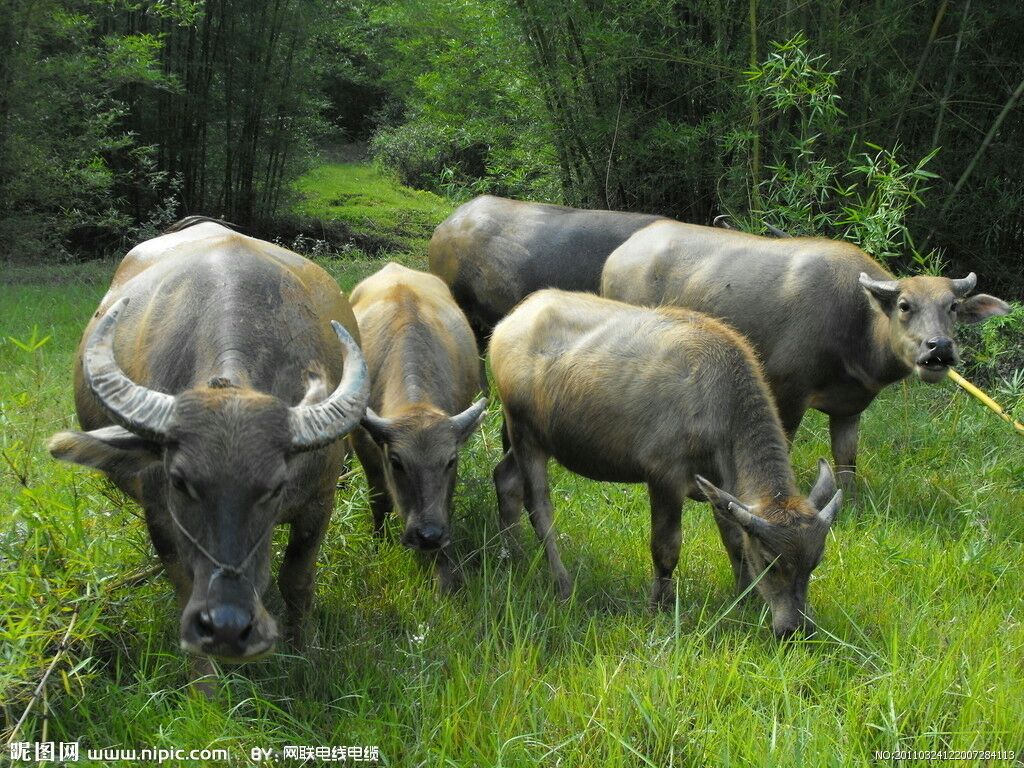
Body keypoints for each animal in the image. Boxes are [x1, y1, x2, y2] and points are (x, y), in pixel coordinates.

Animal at [48, 219, 370, 663]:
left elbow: (297, 580)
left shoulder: (319, 499)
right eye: (181, 482)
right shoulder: (161, 515)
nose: (229, 625)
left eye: (276, 487)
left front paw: (304, 653)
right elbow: (186, 590)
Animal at [352, 262, 487, 593]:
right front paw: (378, 542)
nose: (429, 535)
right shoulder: (364, 446)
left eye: (450, 461)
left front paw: (443, 573)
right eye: (396, 462)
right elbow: (379, 498)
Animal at [487, 288, 839, 638]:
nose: (795, 629)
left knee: (506, 479)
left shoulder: (721, 487)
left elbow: (736, 542)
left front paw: (746, 597)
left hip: (534, 440)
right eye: (770, 562)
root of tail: (510, 322)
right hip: (525, 435)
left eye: (814, 563)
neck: (716, 401)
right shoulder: (664, 478)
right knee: (540, 509)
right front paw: (660, 605)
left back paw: (512, 556)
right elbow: (666, 547)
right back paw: (562, 584)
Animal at [598, 219, 1007, 489]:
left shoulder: (850, 407)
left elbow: (847, 461)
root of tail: (618, 255)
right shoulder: (788, 392)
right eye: (905, 305)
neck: (857, 323)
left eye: (952, 306)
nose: (939, 347)